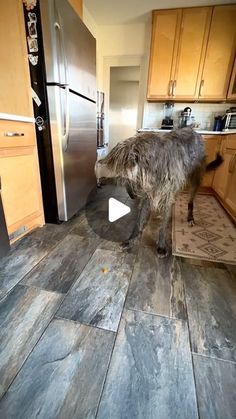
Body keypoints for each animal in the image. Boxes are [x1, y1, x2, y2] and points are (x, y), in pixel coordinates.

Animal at [94, 128, 223, 258]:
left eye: (130, 178)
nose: (132, 196)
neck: (155, 167)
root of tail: (194, 131)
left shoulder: (166, 195)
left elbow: (163, 224)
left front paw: (161, 245)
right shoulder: (147, 196)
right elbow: (139, 221)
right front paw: (130, 240)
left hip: (195, 179)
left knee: (191, 200)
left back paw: (190, 217)